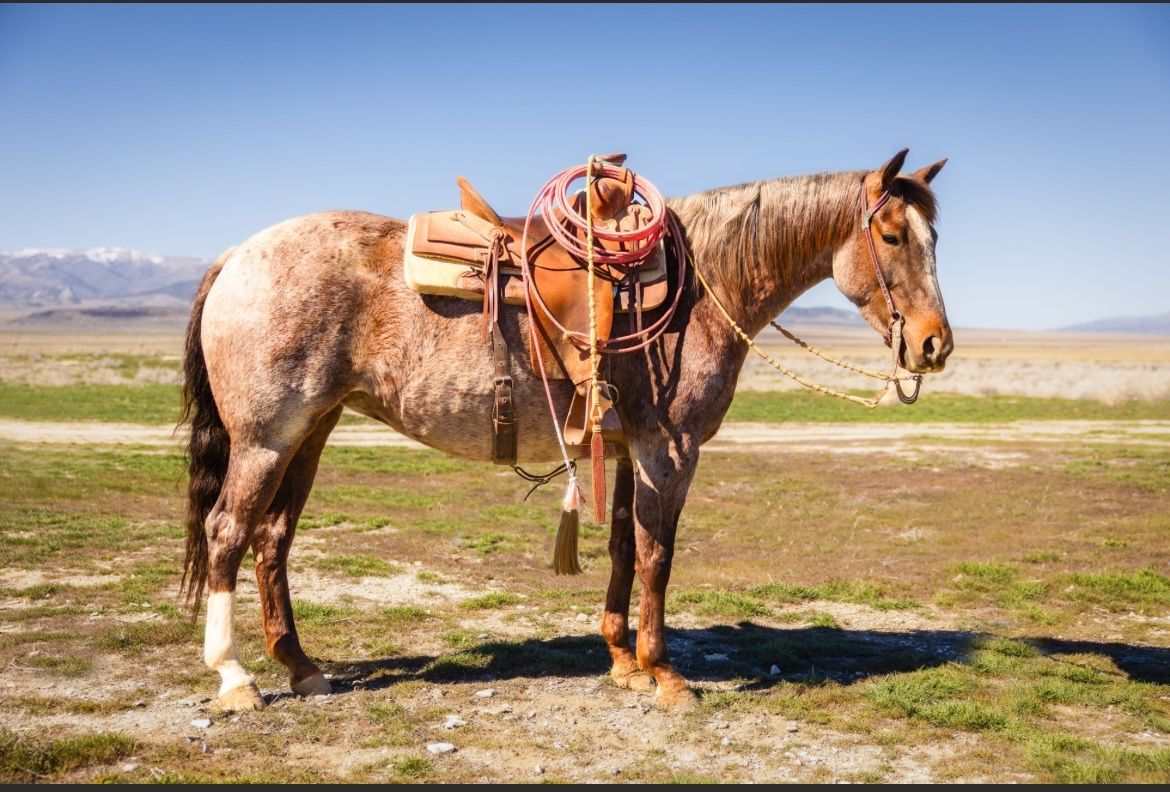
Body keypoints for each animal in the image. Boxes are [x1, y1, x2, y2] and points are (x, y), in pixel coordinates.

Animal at [179, 148, 952, 712]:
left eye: (934, 237)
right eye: (891, 235)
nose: (934, 344)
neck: (699, 289)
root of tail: (234, 256)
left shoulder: (627, 447)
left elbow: (621, 548)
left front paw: (623, 661)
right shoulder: (670, 450)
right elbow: (656, 555)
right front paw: (665, 674)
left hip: (311, 429)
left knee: (273, 538)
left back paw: (301, 667)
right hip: (267, 437)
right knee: (227, 531)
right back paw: (236, 677)